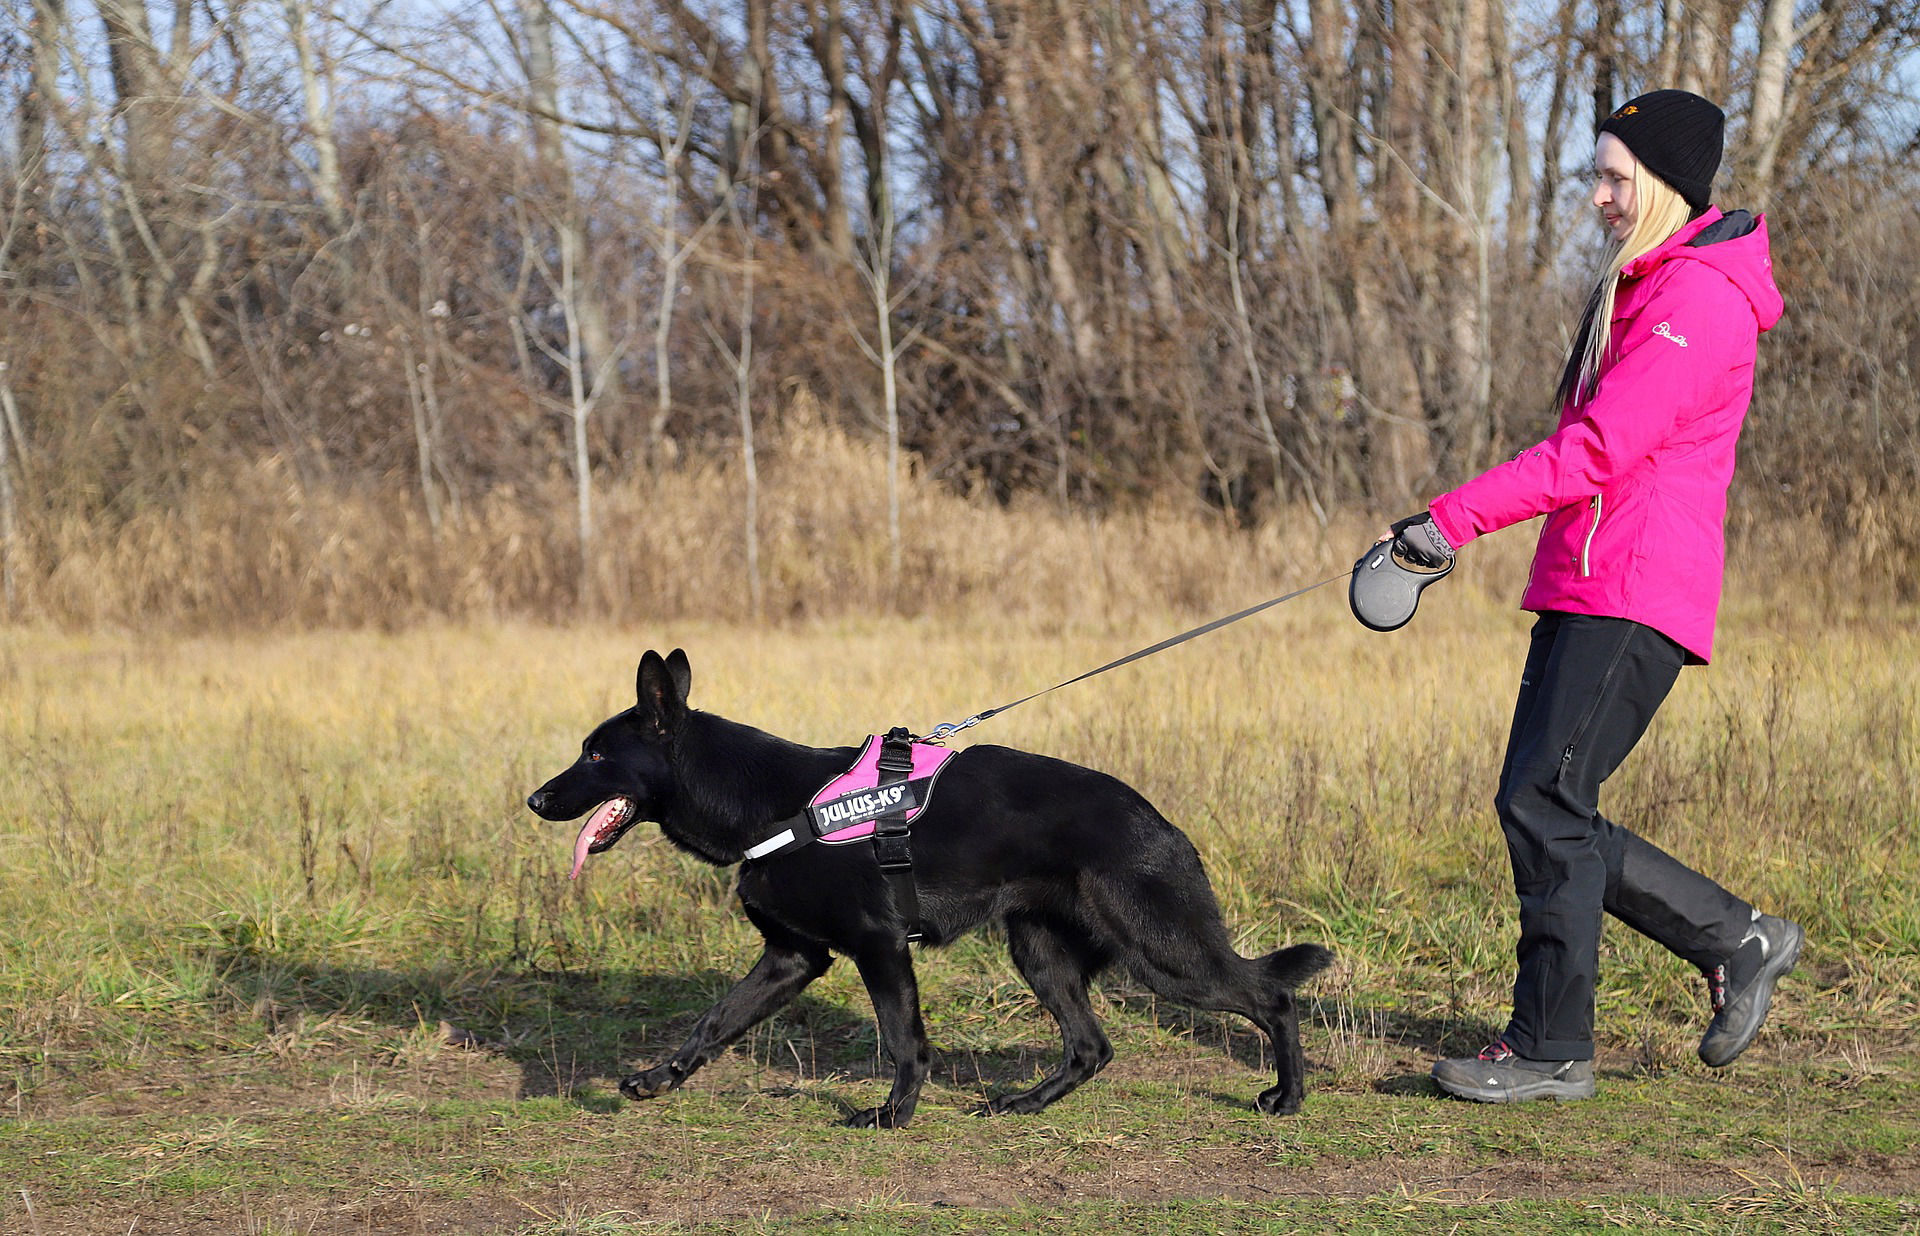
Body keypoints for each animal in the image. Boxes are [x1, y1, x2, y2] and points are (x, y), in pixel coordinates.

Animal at [526, 652, 1336, 1128]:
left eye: (594, 755)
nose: (534, 800)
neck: (773, 803)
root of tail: (1161, 821)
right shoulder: (793, 958)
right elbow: (713, 1022)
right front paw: (657, 1079)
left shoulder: (879, 947)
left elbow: (903, 1039)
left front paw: (892, 1116)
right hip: (1041, 955)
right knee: (1091, 1047)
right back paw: (1025, 1104)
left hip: (1164, 956)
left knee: (1271, 997)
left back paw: (1288, 1097)